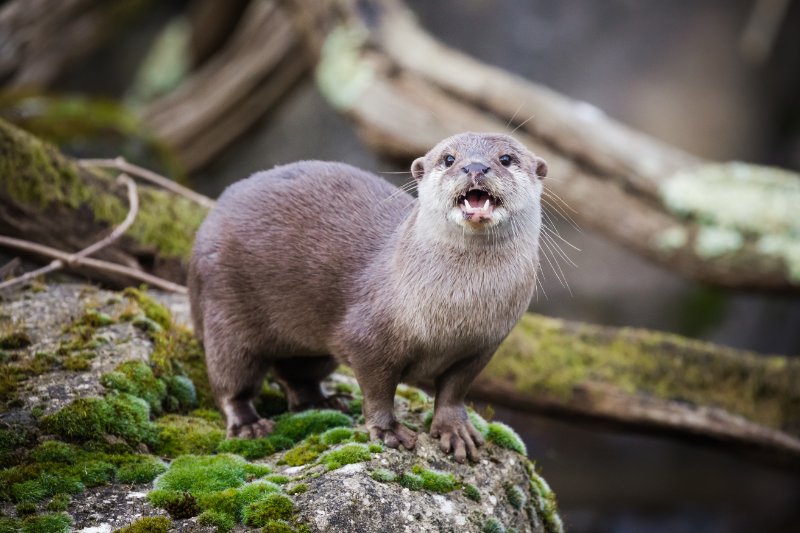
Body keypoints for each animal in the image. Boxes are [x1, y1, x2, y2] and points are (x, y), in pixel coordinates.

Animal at [191, 132, 548, 462]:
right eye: (448, 159)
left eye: (506, 158)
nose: (475, 167)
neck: (456, 314)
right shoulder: (367, 337)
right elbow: (378, 390)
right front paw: (389, 431)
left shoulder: (482, 348)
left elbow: (454, 391)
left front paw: (455, 430)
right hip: (225, 311)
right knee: (231, 379)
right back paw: (249, 425)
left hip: (311, 347)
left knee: (295, 375)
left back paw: (324, 401)